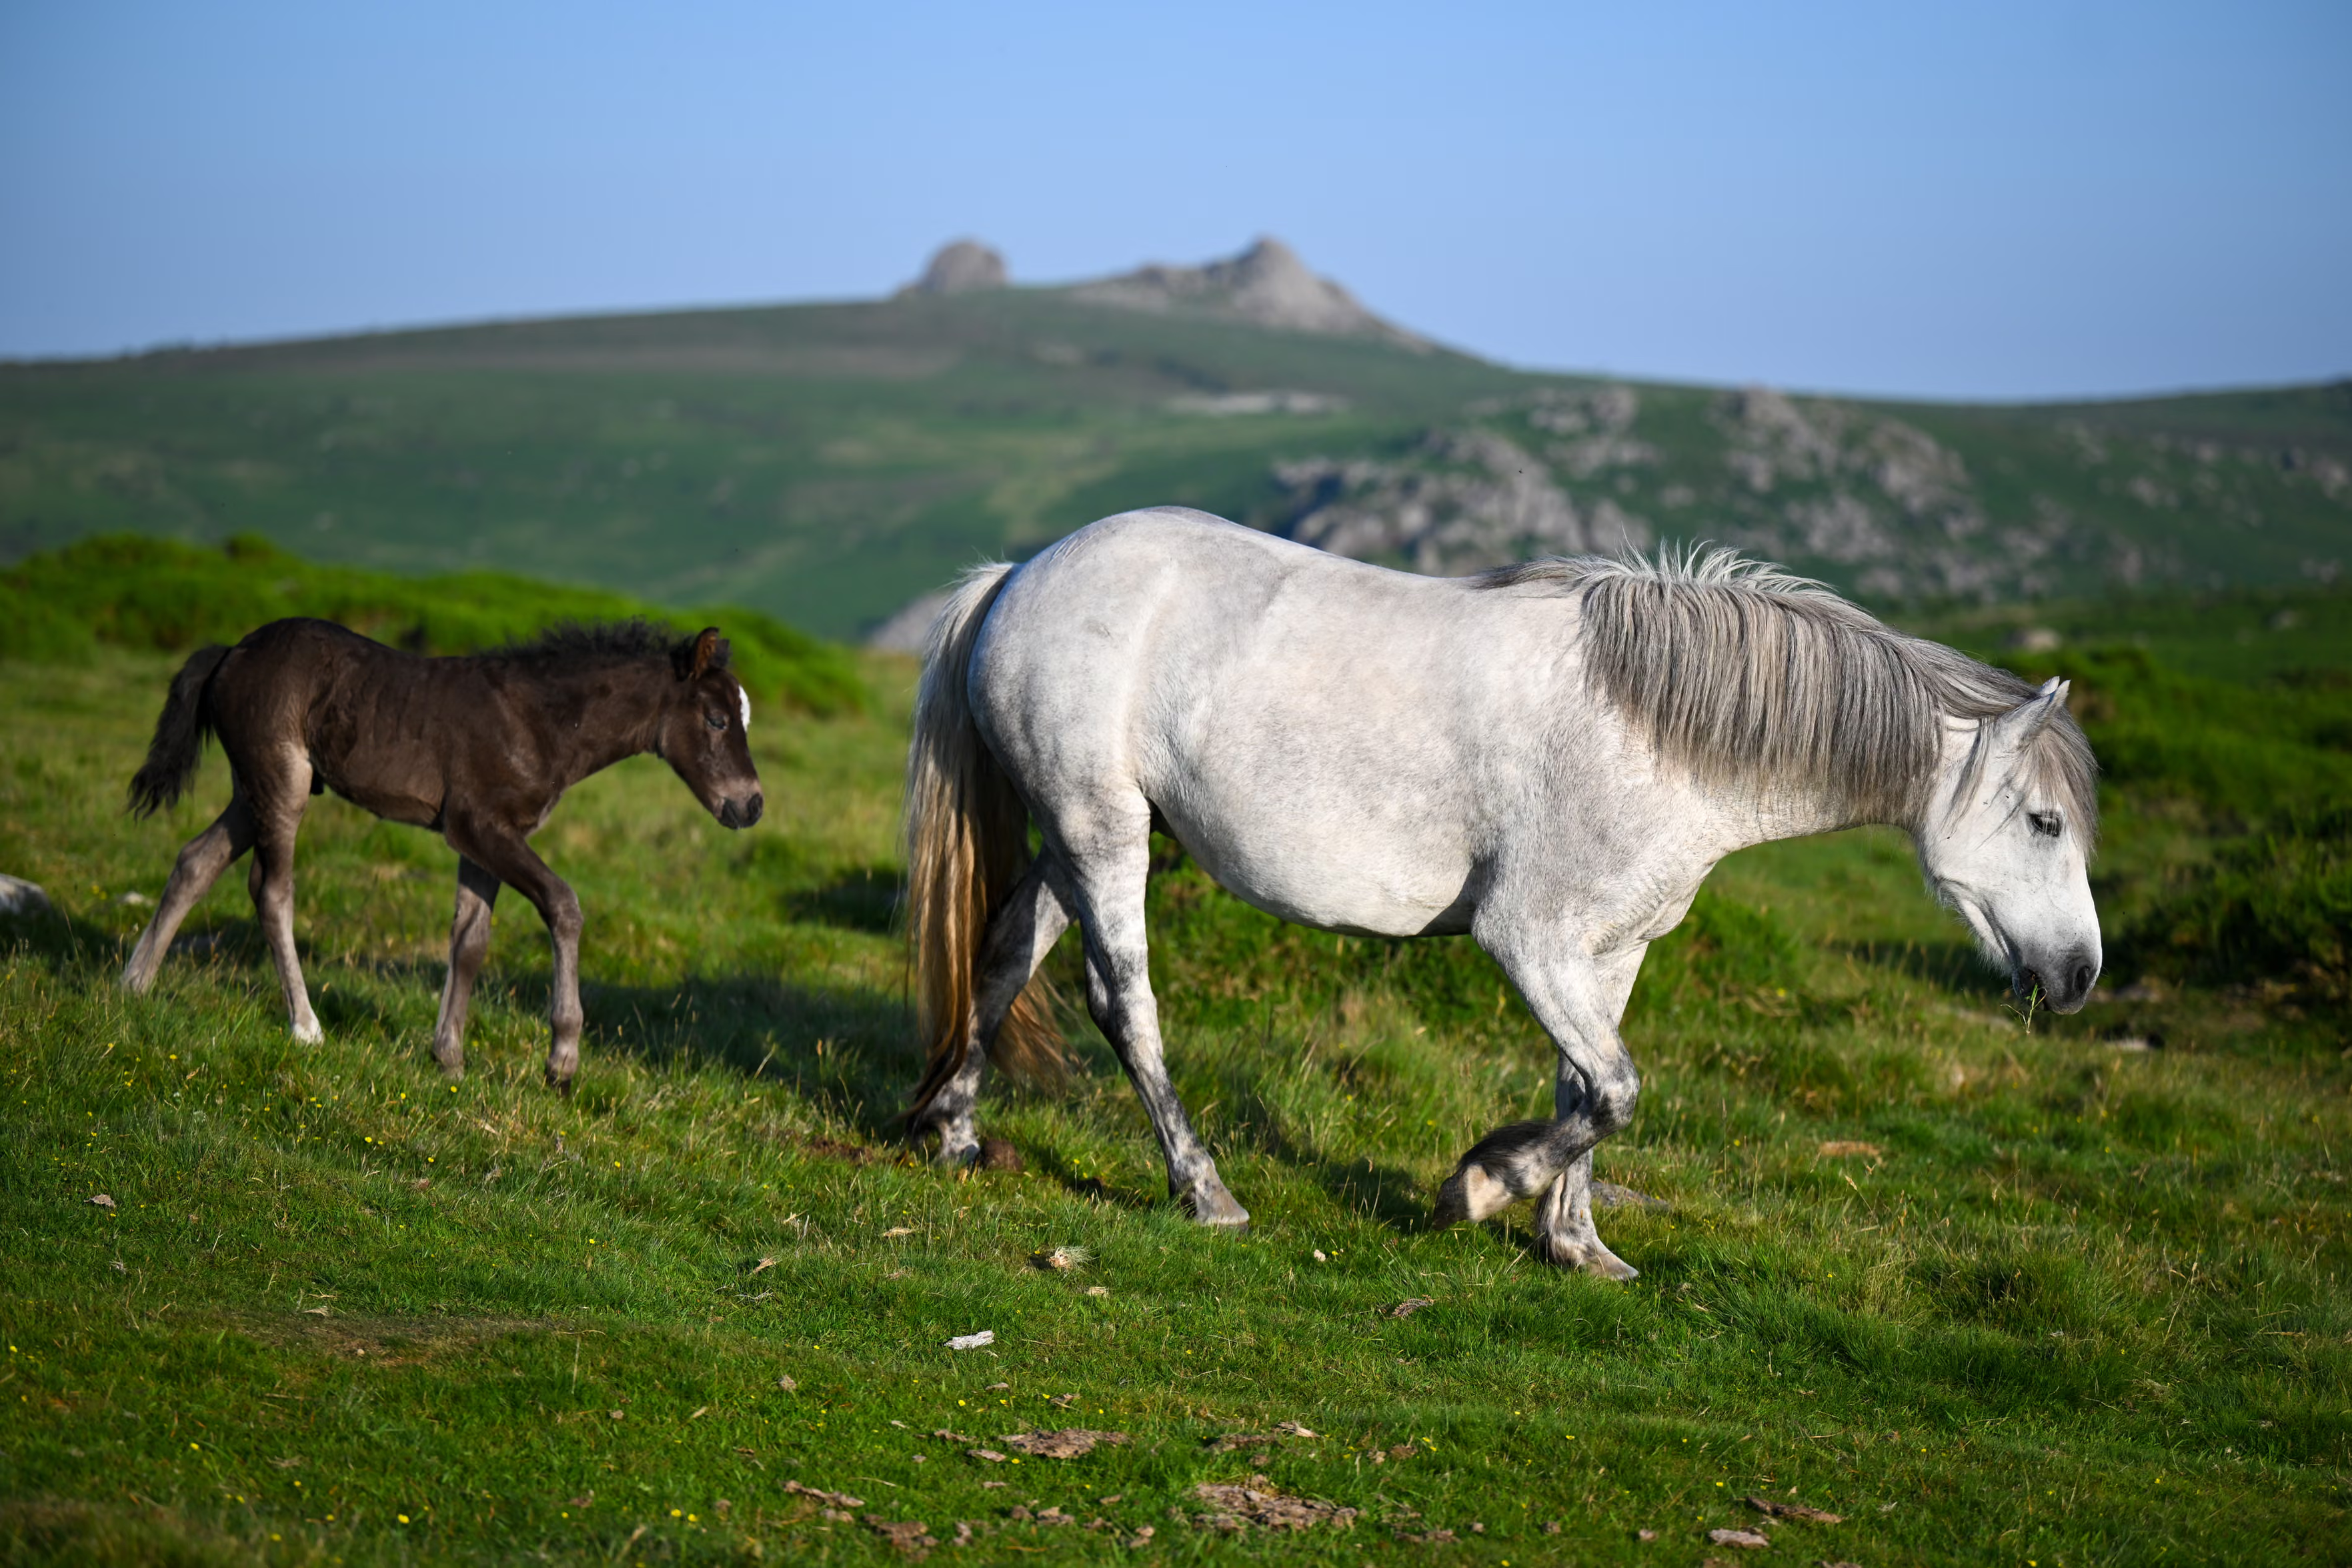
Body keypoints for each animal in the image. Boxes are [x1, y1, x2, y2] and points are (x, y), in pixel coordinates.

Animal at [119, 618, 764, 1088]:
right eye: (716, 719)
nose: (751, 805)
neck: (542, 721)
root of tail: (233, 651)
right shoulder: (480, 827)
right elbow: (563, 904)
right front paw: (562, 1057)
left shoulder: (482, 839)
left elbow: (470, 941)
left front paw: (448, 1056)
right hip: (281, 781)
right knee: (272, 891)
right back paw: (305, 1026)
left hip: (252, 790)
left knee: (195, 861)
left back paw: (135, 985)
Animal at [901, 507, 2100, 1277]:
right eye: (2042, 823)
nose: (2079, 975)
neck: (1653, 732)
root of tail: (1016, 577)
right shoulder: (1528, 939)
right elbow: (1613, 1090)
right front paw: (1478, 1188)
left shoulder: (1612, 949)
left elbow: (1584, 1089)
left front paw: (1575, 1245)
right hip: (1100, 829)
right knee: (1123, 1003)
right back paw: (1204, 1191)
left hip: (1076, 839)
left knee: (1003, 957)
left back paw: (954, 1134)